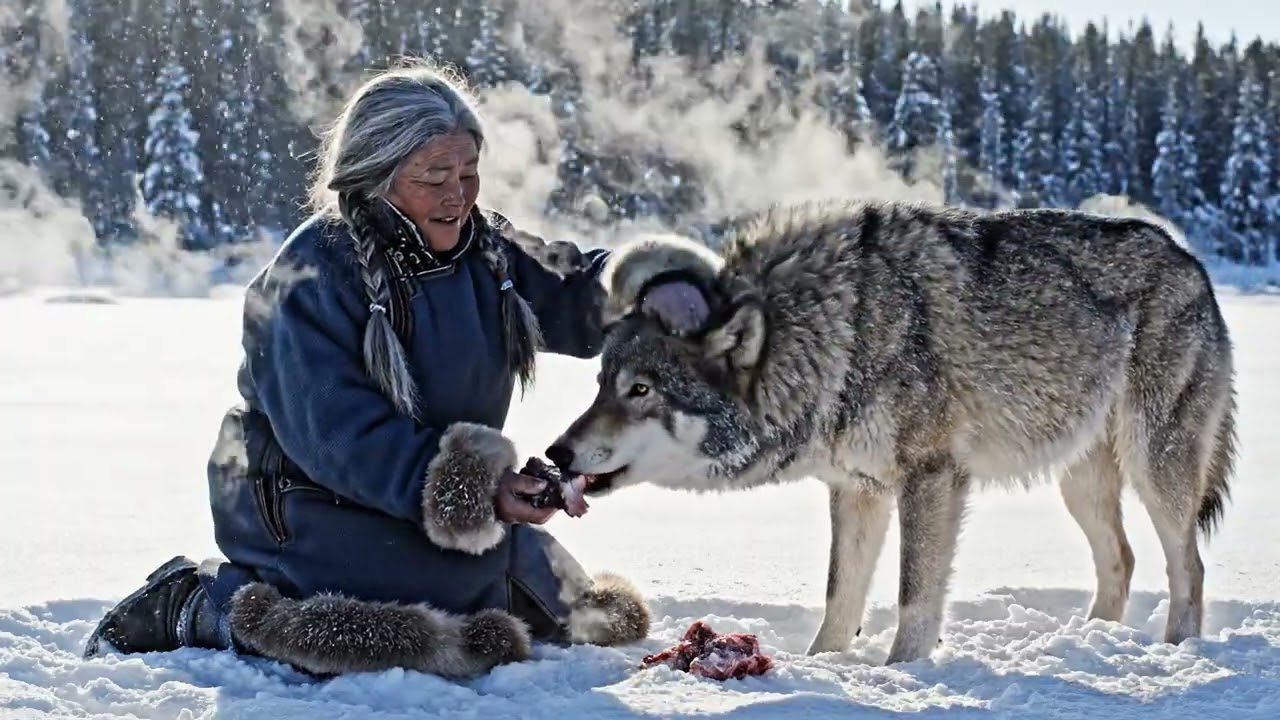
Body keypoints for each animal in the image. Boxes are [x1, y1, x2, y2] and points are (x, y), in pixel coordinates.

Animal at [546, 199, 1237, 665]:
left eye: (641, 391)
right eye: (602, 383)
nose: (556, 451)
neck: (836, 333)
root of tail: (1192, 261)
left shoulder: (931, 479)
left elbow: (913, 596)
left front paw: (902, 675)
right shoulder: (858, 489)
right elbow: (840, 595)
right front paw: (820, 666)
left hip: (1154, 466)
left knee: (1191, 567)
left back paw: (1175, 654)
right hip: (1080, 483)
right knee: (1121, 559)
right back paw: (1091, 639)